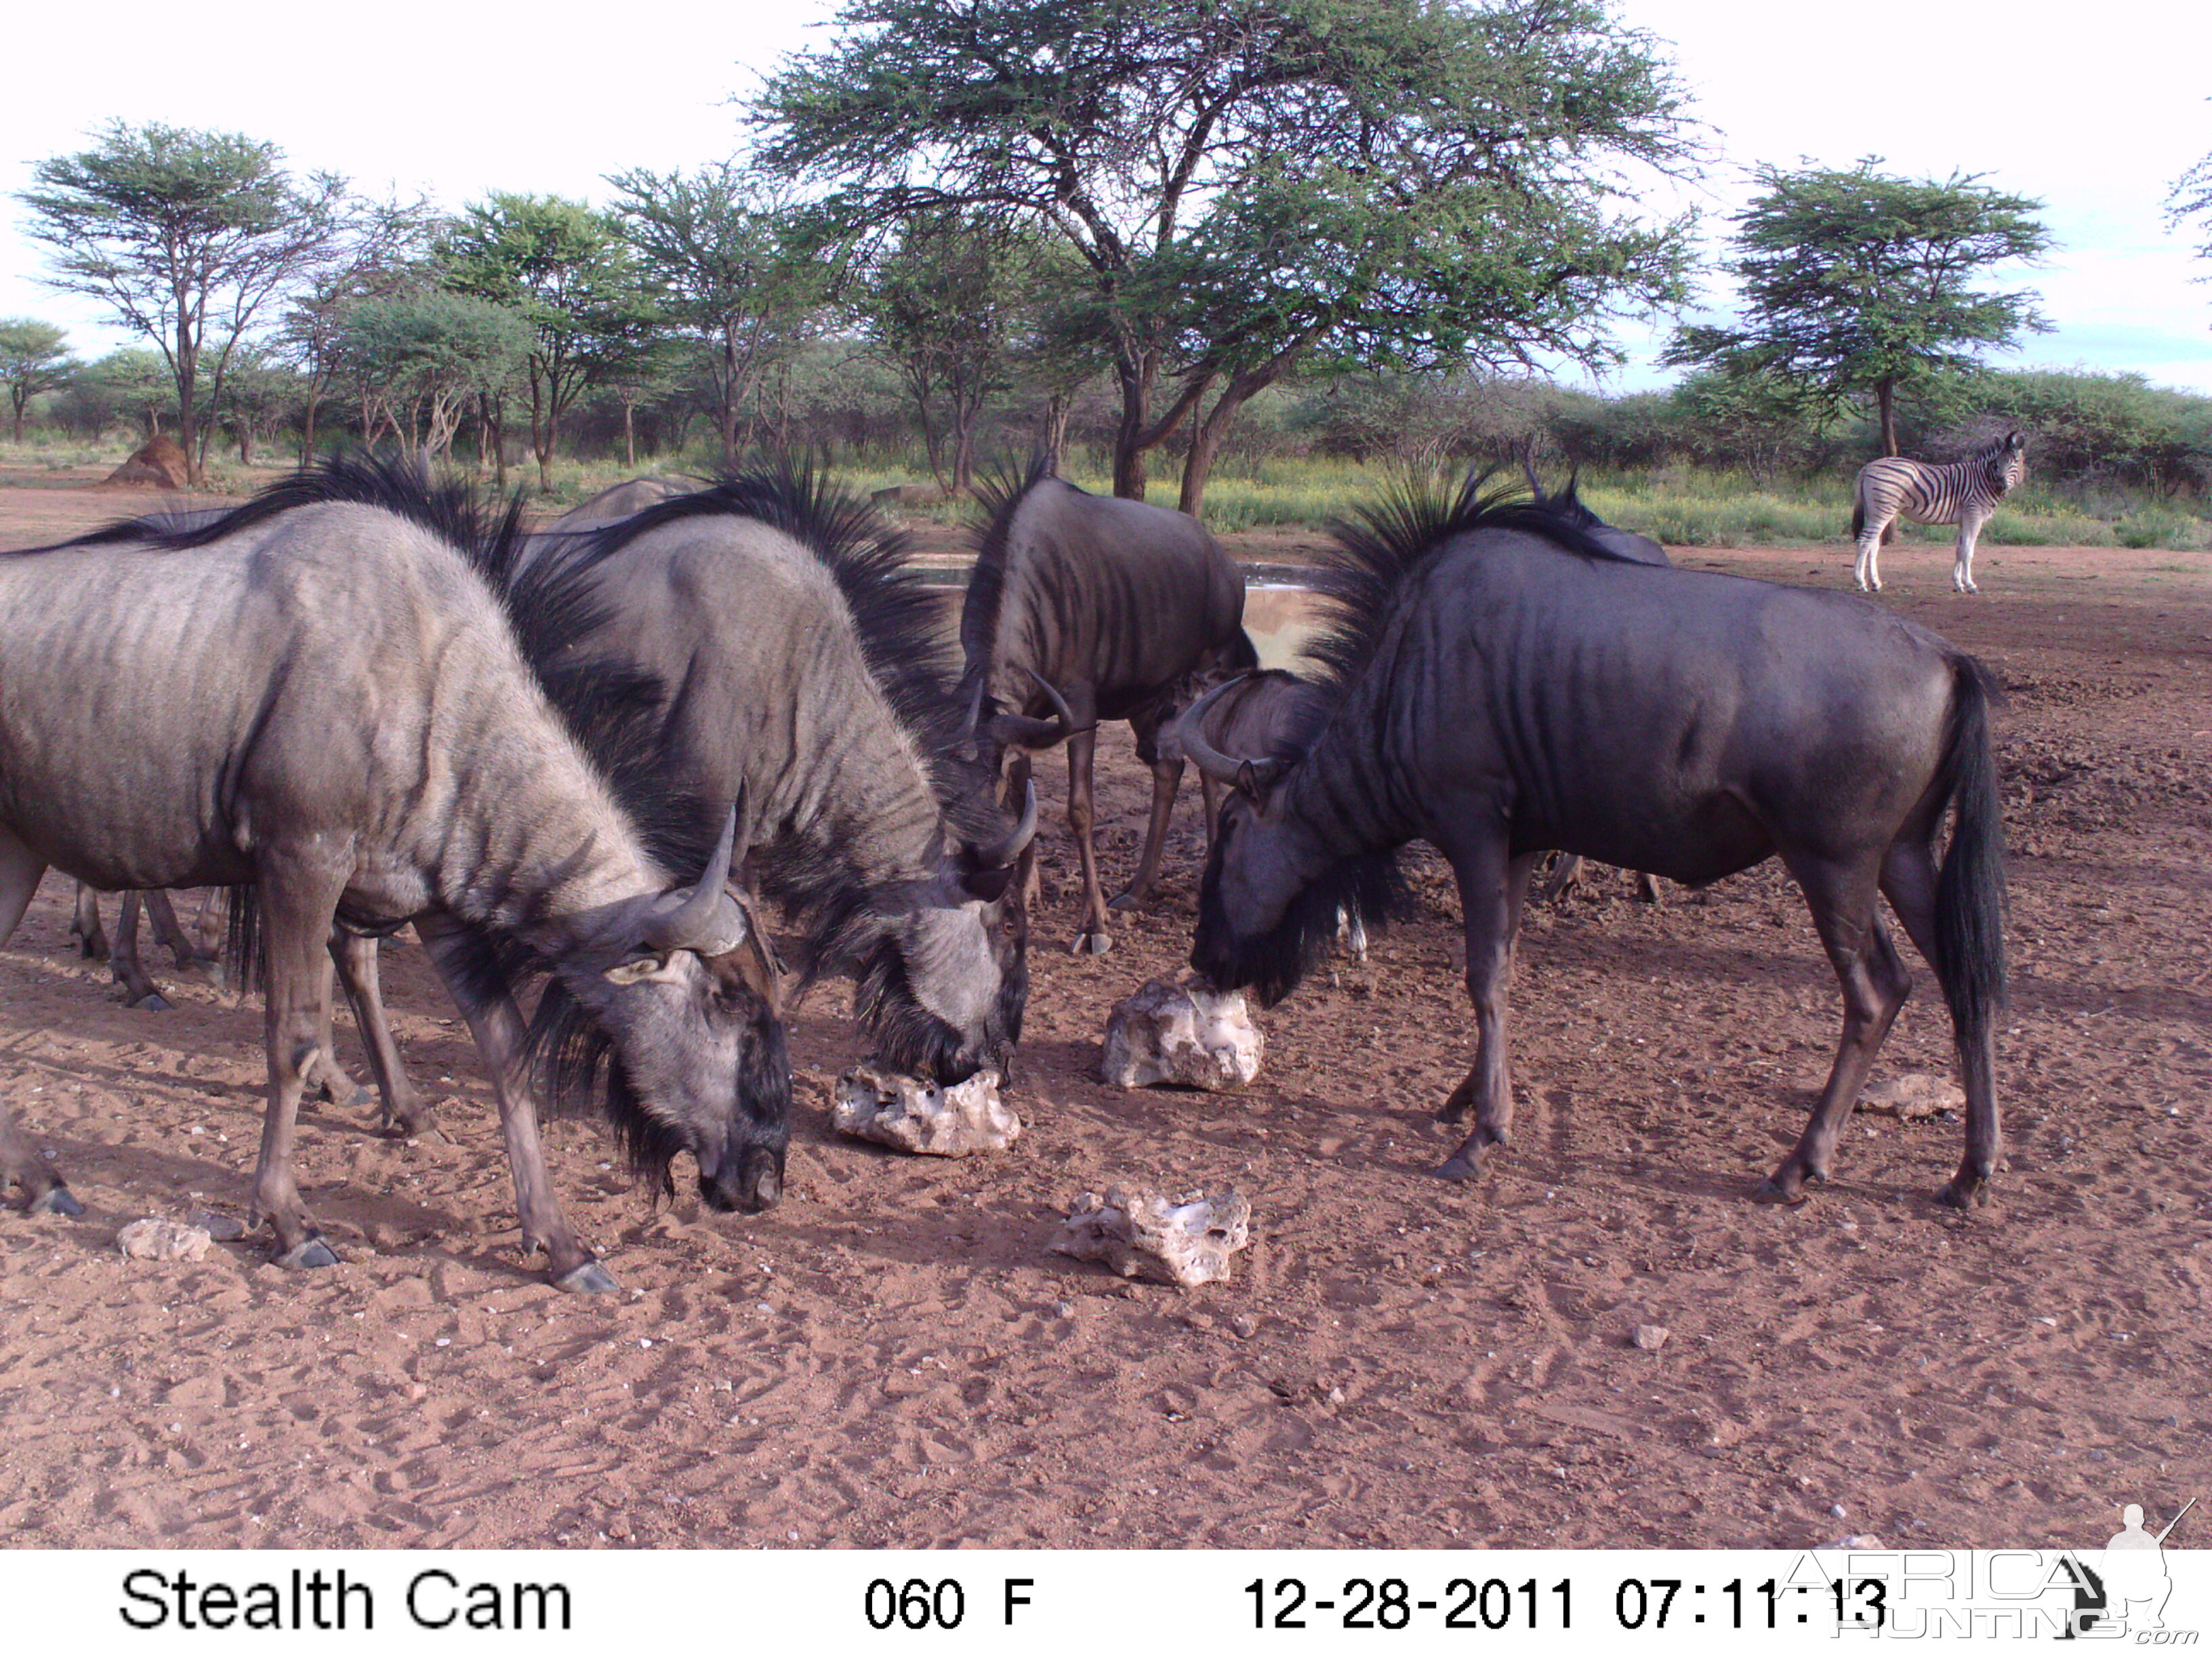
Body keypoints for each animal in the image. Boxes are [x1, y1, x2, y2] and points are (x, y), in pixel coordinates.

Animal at [1849, 429, 2026, 597]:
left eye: (2015, 461)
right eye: (1997, 463)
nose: (2000, 486)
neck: (1984, 480)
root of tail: (1868, 466)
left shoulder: (1964, 519)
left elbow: (1959, 550)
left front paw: (1958, 584)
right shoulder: (1974, 515)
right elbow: (1968, 551)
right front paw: (1970, 585)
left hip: (1874, 511)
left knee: (1873, 545)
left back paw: (1875, 583)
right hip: (1883, 509)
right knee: (1864, 542)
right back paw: (1861, 583)